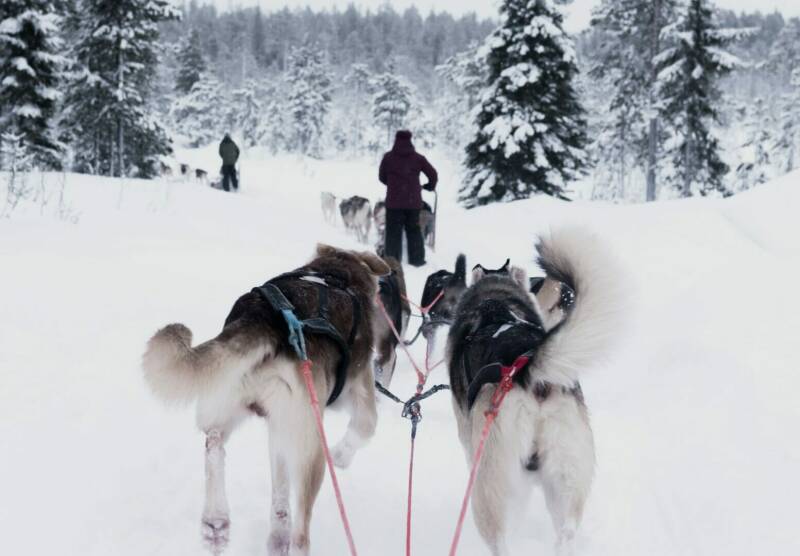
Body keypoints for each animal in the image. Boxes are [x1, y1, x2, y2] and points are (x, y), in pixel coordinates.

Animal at [446, 228, 620, 552]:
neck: (495, 304)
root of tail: (531, 372)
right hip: (565, 476)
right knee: (566, 530)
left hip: (490, 477)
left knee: (500, 537)